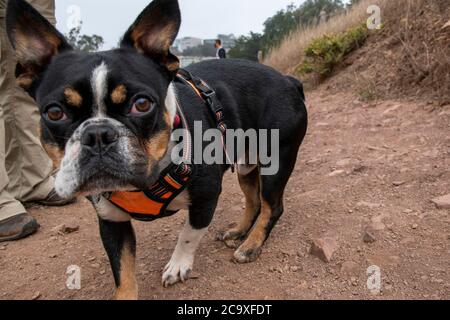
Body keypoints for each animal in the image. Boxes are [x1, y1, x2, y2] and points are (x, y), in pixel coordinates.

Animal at [7, 0, 308, 300]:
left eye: (142, 104)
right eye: (54, 113)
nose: (98, 134)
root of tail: (288, 80)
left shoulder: (205, 198)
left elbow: (188, 234)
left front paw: (178, 265)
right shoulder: (111, 222)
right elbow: (123, 271)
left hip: (276, 162)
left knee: (272, 206)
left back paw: (251, 245)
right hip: (246, 165)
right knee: (254, 201)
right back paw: (240, 231)